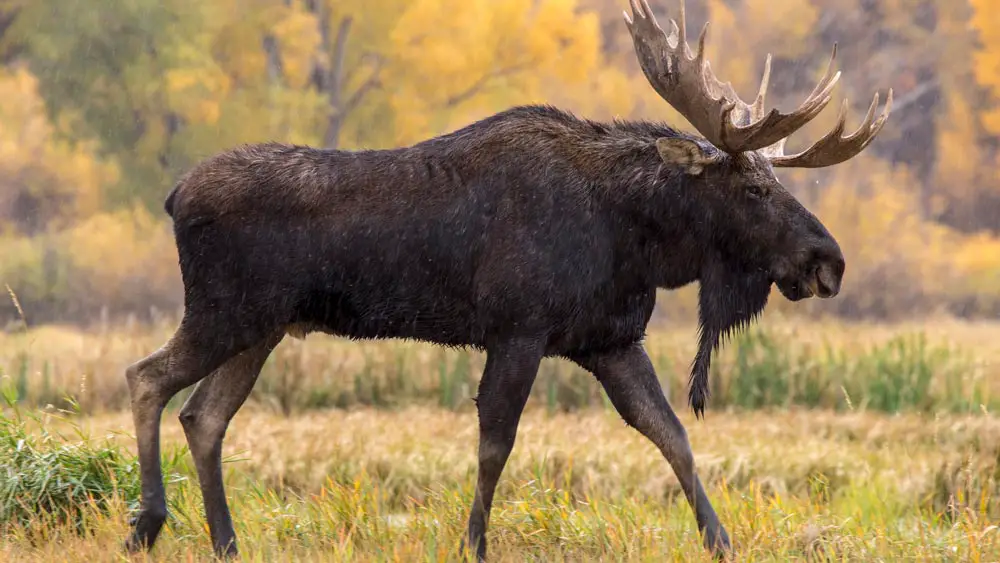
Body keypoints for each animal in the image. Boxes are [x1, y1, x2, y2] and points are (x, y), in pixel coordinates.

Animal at [123, 0, 892, 560]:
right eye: (755, 190)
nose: (829, 261)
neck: (636, 237)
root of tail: (172, 196)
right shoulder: (519, 330)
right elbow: (496, 443)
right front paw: (473, 543)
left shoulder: (610, 339)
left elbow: (672, 434)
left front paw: (721, 540)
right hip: (225, 313)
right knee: (146, 377)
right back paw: (149, 522)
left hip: (264, 328)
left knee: (204, 415)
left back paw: (225, 541)